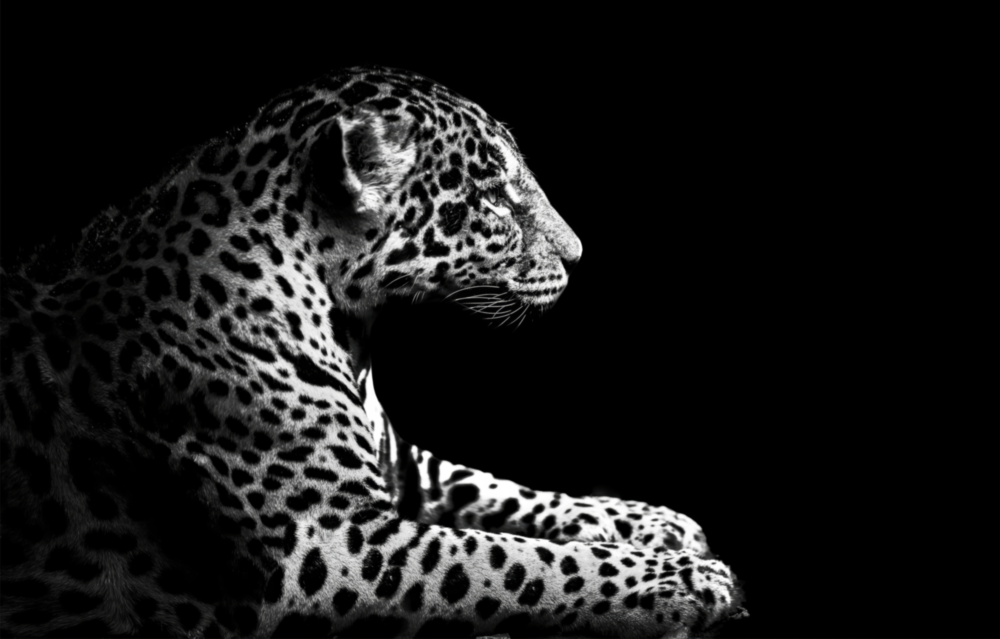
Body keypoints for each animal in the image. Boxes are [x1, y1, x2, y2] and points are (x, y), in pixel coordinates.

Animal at [0, 66, 746, 637]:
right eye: (494, 201)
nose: (579, 254)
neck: (348, 325)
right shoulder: (329, 543)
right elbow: (517, 561)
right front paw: (689, 581)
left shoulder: (400, 465)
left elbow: (508, 491)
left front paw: (657, 522)